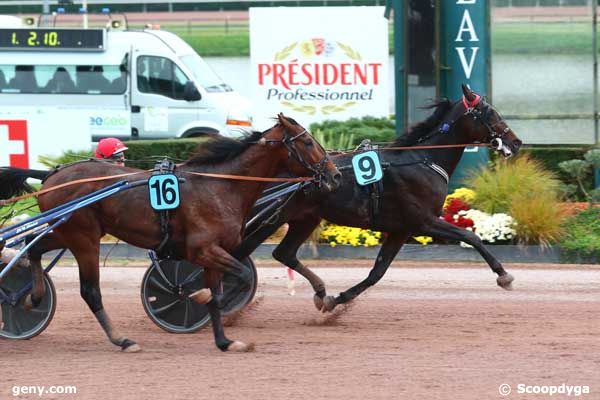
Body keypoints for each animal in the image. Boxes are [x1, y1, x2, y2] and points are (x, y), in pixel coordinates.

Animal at [0, 114, 340, 352]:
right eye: (308, 142)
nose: (335, 175)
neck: (221, 186)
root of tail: (52, 174)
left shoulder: (212, 253)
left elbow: (219, 295)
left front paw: (225, 341)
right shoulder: (206, 250)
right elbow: (237, 280)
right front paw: (200, 297)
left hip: (66, 231)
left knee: (33, 248)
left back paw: (31, 297)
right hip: (84, 238)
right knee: (90, 290)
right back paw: (122, 340)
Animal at [237, 86, 524, 314]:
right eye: (491, 113)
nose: (516, 141)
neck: (423, 161)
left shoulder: (401, 230)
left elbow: (377, 272)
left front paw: (336, 300)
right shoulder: (424, 221)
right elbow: (471, 236)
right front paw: (504, 276)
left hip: (305, 218)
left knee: (283, 253)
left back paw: (319, 292)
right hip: (274, 215)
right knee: (243, 250)